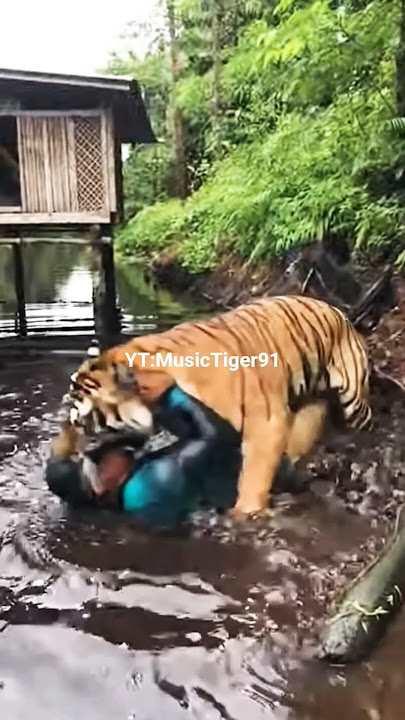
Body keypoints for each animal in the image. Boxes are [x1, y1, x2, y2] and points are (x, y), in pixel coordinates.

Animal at [58, 295, 372, 518]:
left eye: (84, 424)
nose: (65, 456)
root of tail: (338, 310)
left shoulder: (266, 427)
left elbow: (253, 479)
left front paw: (244, 515)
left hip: (353, 401)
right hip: (310, 404)